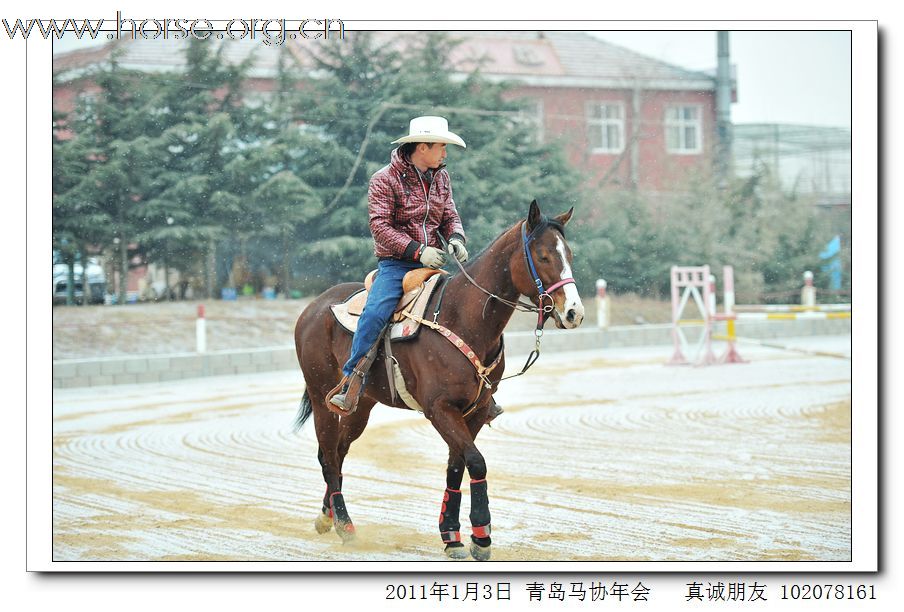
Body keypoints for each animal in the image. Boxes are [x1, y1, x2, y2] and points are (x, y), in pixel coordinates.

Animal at [294, 200, 584, 560]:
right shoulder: (440, 409)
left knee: (338, 451)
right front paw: (481, 538)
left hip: (360, 406)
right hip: (321, 396)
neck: (462, 318)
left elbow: (456, 466)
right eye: (543, 256)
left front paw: (452, 536)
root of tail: (312, 309)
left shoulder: (475, 411)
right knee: (329, 457)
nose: (574, 312)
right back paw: (345, 526)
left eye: (568, 254)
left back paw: (326, 516)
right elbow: (476, 462)